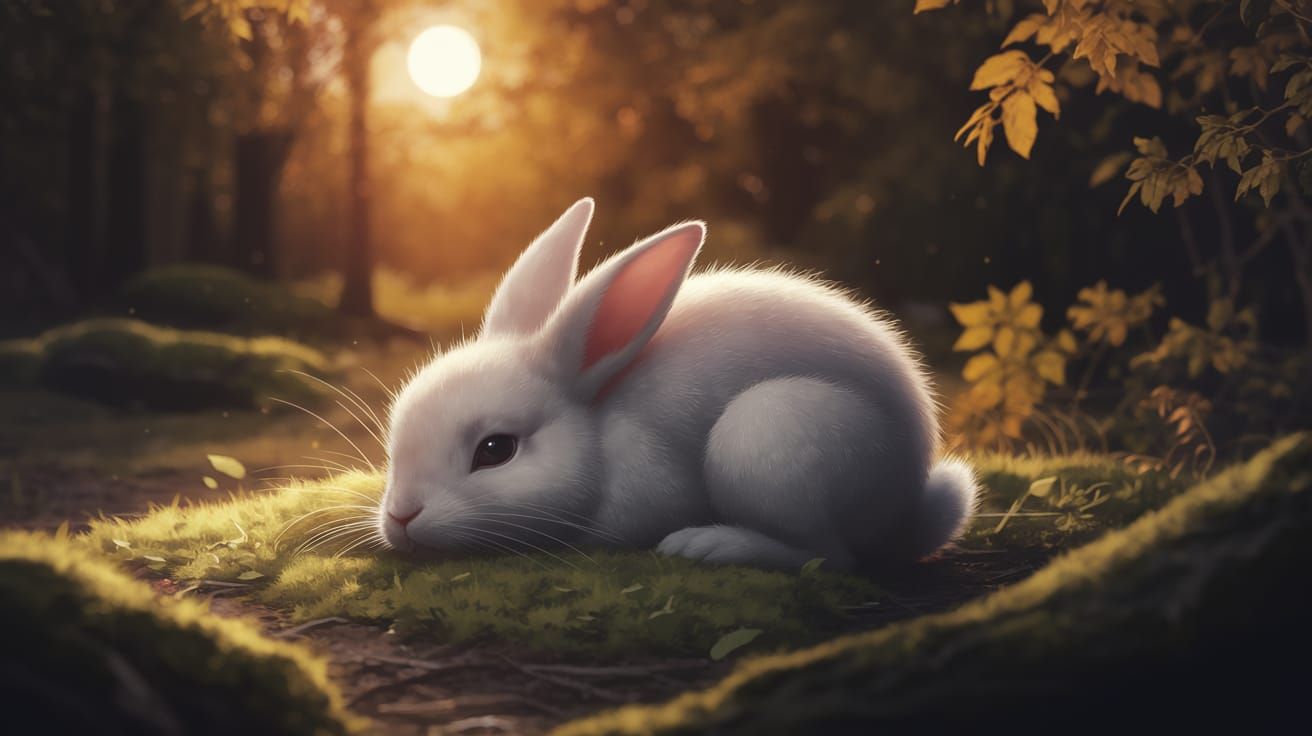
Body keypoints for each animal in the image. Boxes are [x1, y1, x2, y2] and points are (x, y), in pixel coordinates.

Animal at [380, 197, 978, 571]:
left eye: (495, 450)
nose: (401, 517)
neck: (597, 425)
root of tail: (908, 505)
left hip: (770, 437)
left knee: (829, 556)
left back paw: (709, 545)